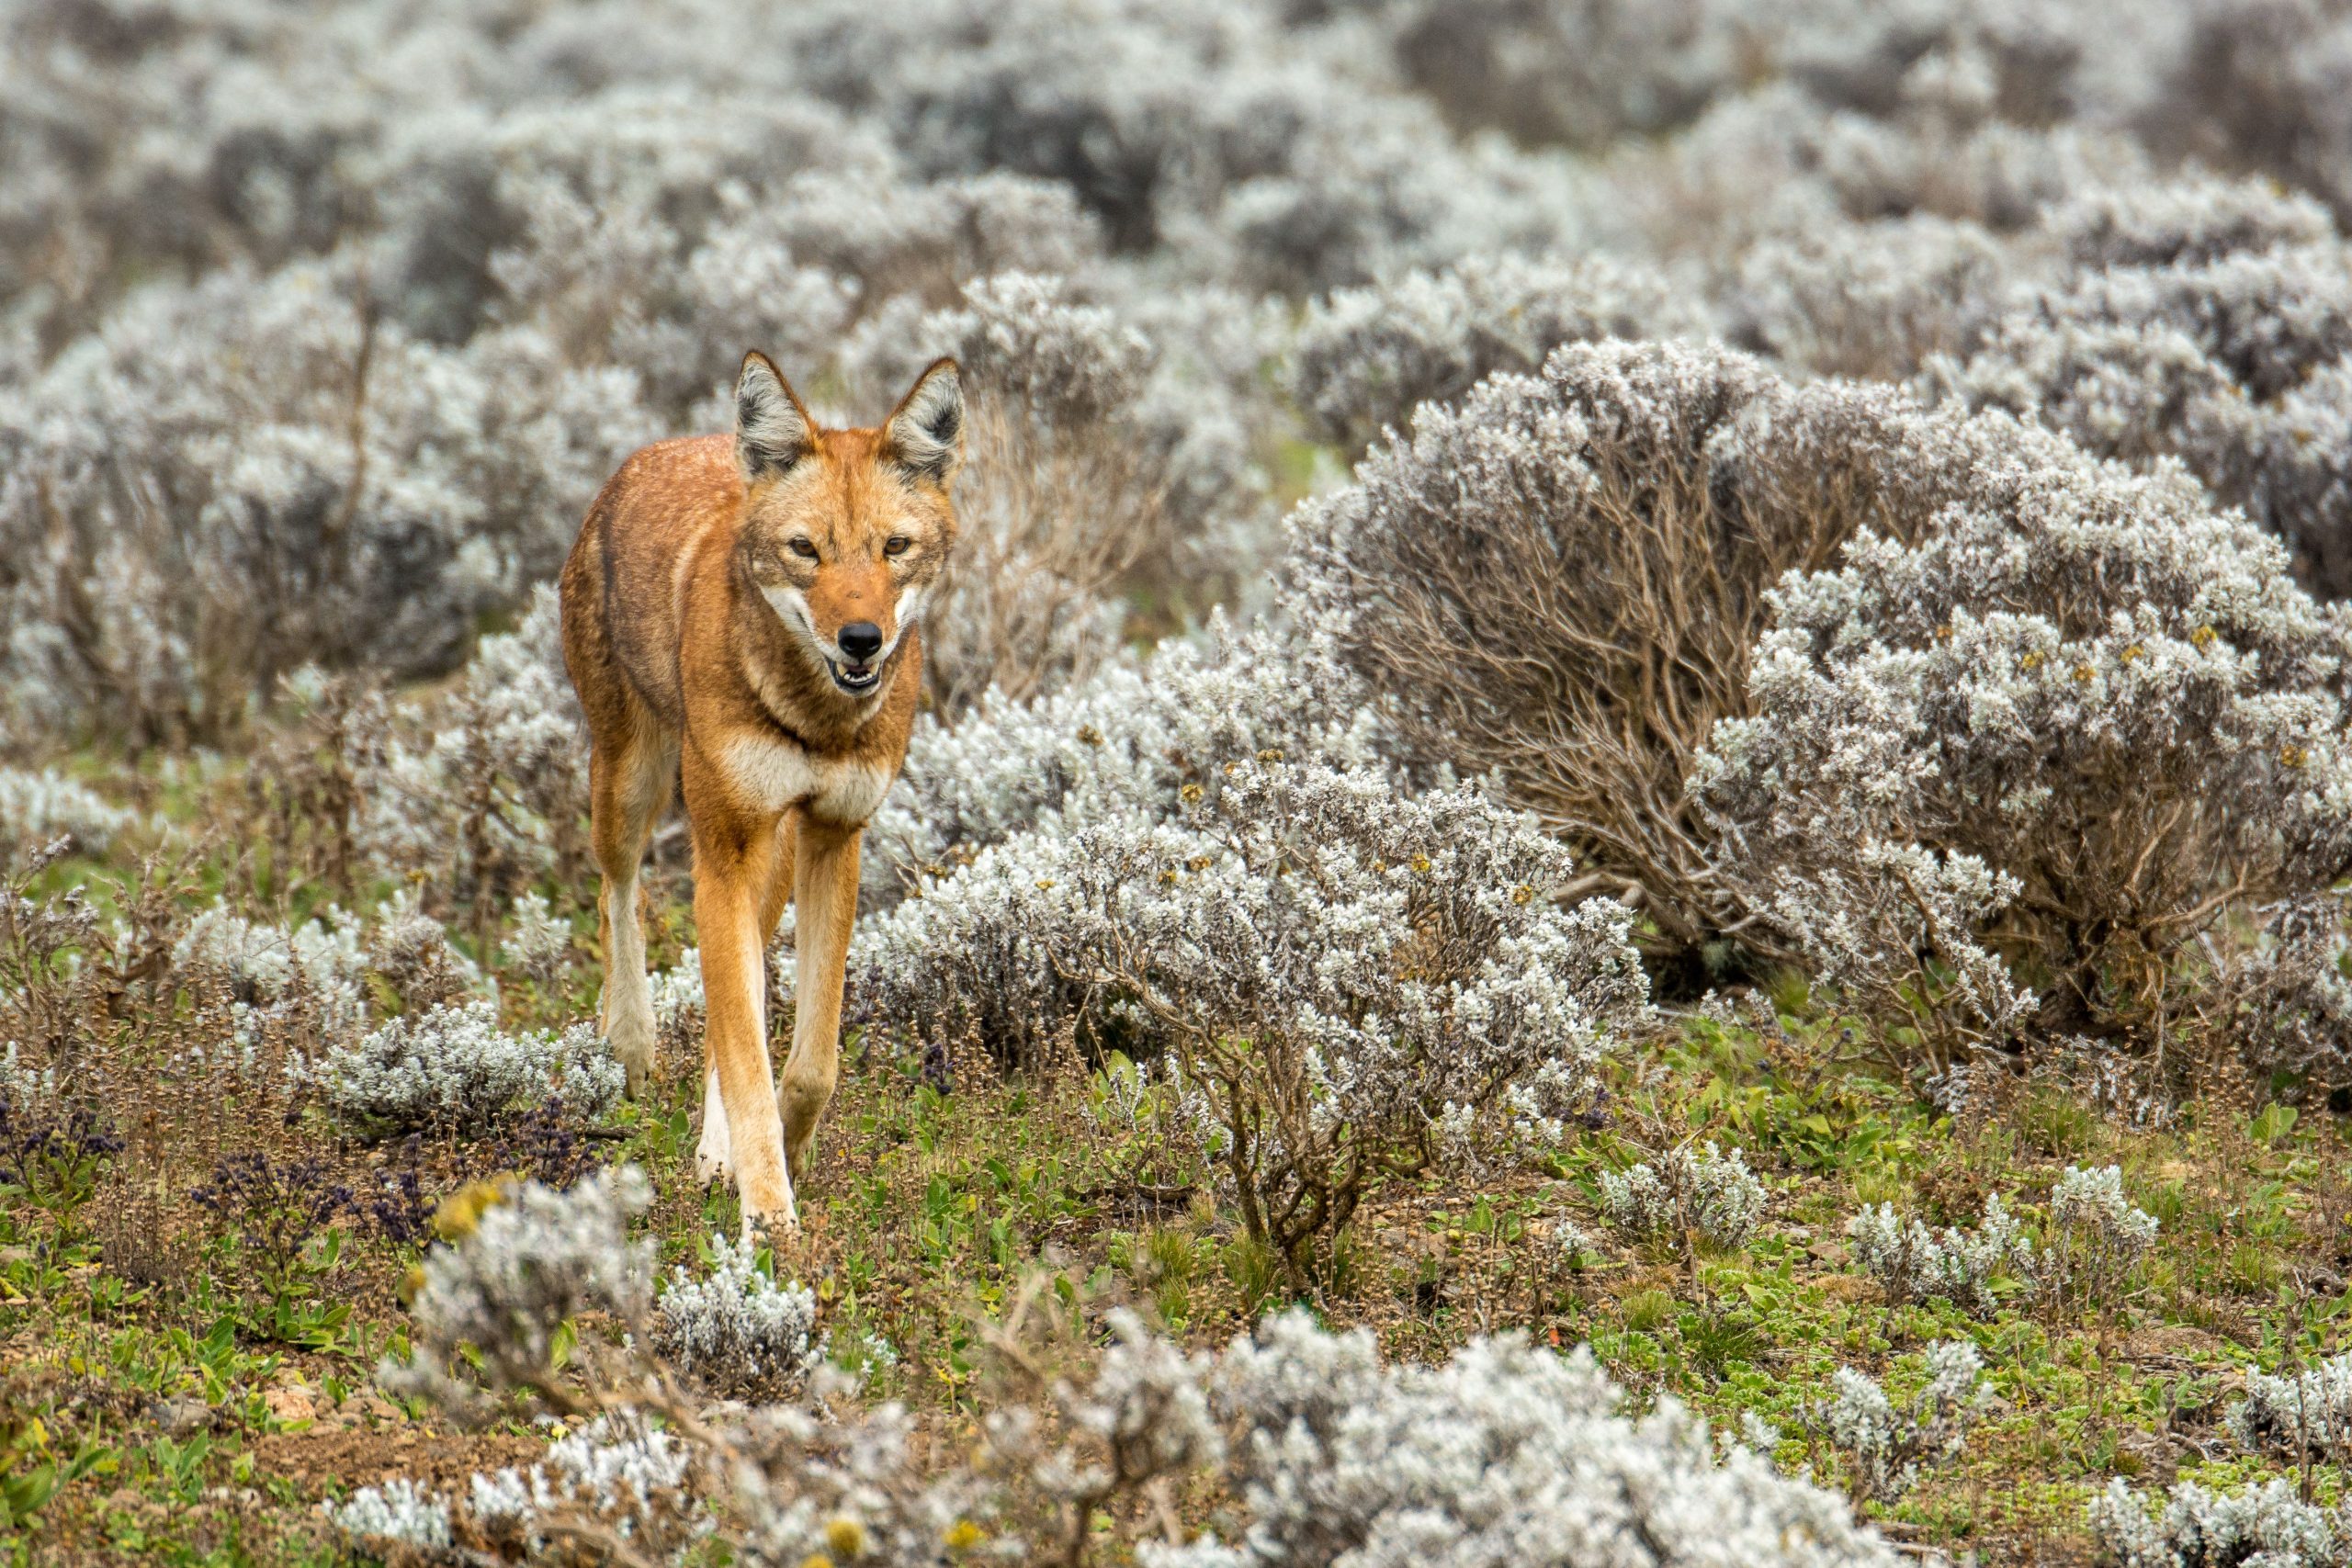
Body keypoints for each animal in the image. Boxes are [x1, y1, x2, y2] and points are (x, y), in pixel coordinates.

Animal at [559, 351, 963, 1236]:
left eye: (894, 547)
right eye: (805, 549)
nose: (861, 640)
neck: (814, 720)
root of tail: (659, 449)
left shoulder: (833, 837)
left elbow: (808, 1061)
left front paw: (780, 1151)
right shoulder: (723, 848)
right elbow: (748, 1055)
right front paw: (770, 1220)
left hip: (764, 858)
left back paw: (714, 1150)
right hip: (631, 789)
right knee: (618, 893)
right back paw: (630, 1045)